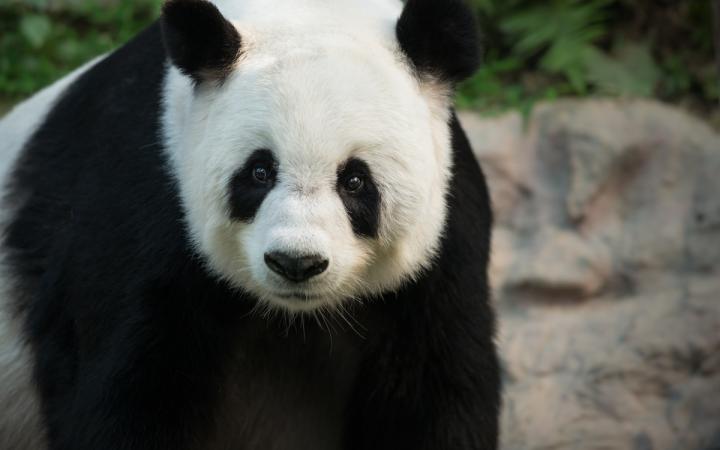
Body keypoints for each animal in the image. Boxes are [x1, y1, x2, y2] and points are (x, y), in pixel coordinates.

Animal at [0, 0, 499, 449]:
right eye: (260, 171)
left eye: (355, 180)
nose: (296, 263)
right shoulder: (143, 196)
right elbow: (129, 389)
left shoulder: (443, 241)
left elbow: (434, 391)